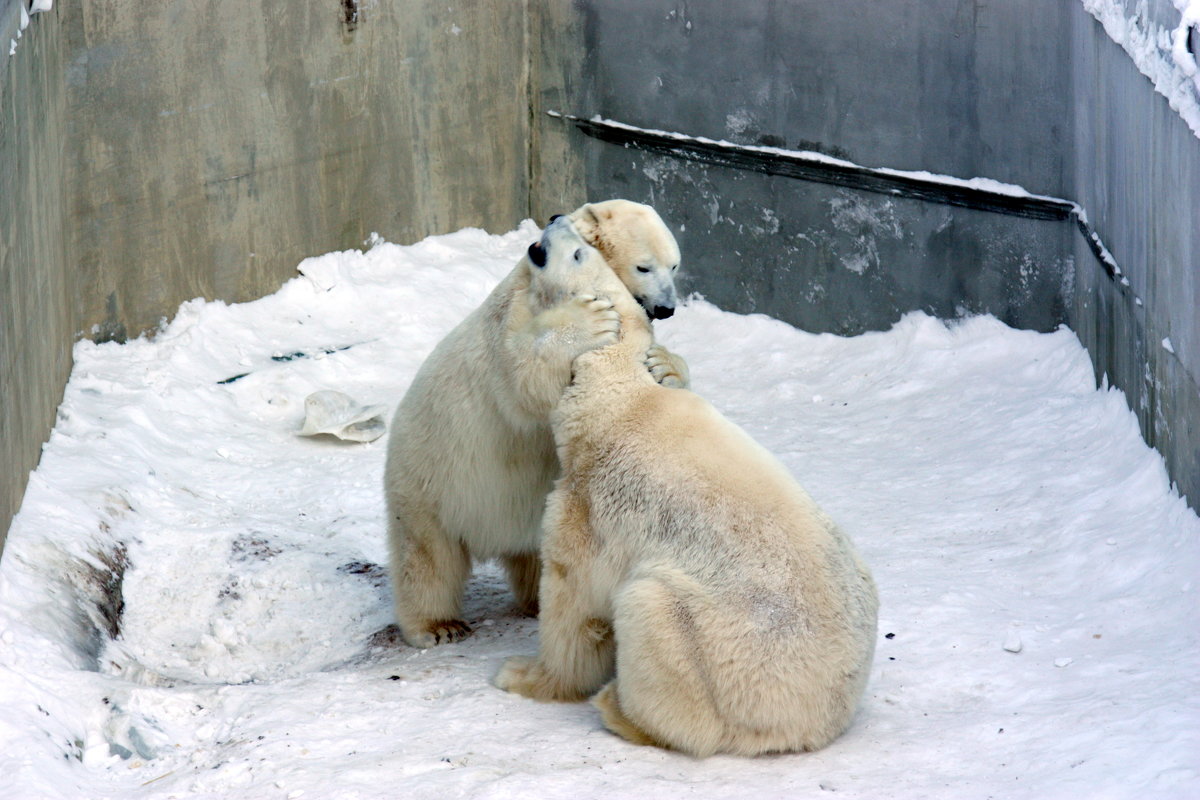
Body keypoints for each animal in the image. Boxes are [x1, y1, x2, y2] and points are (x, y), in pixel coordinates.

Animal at [388, 203, 691, 647]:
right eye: (644, 266)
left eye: (675, 265)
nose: (668, 307)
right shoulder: (515, 313)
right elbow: (526, 375)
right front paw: (588, 321)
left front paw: (666, 364)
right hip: (427, 481)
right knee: (428, 556)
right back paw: (437, 624)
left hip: (526, 507)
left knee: (535, 555)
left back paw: (535, 602)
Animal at [492, 241, 878, 753]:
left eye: (577, 253)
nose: (547, 231)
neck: (616, 398)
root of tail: (815, 723)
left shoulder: (590, 502)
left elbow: (573, 597)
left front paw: (523, 674)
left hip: (726, 650)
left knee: (651, 612)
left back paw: (620, 710)